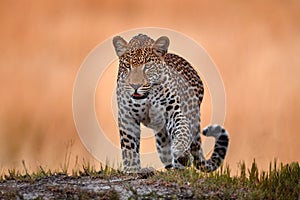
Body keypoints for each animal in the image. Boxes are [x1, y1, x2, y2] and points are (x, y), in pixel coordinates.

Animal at [112, 33, 230, 173]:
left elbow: (182, 131)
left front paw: (181, 152)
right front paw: (132, 170)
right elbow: (129, 146)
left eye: (147, 67)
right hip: (161, 137)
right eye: (128, 66)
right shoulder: (127, 117)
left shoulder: (174, 112)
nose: (135, 86)